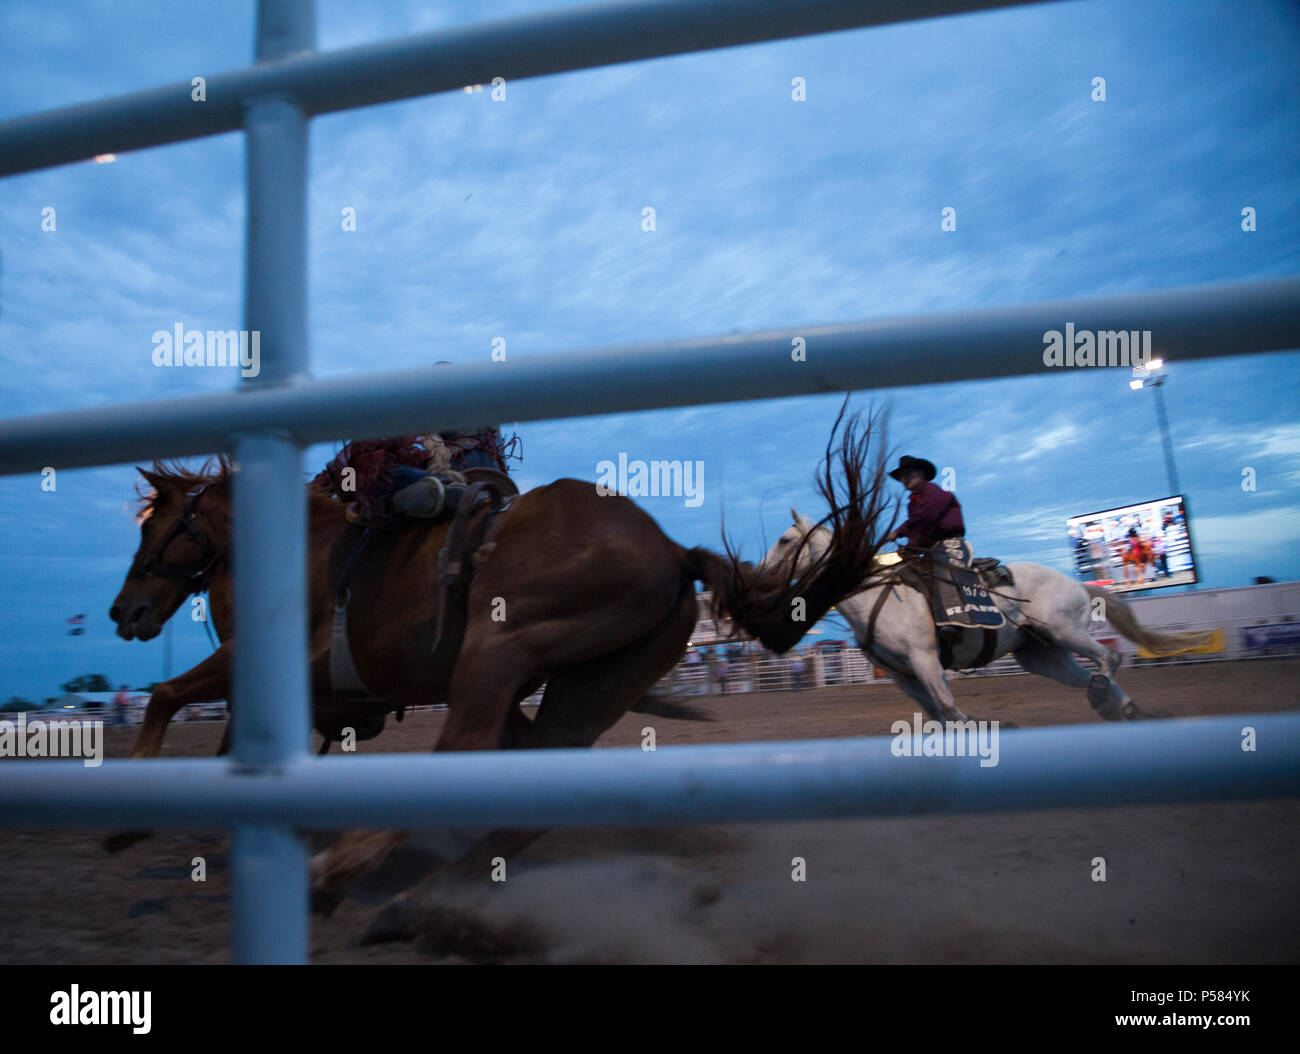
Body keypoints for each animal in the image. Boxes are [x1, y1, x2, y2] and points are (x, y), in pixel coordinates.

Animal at [109, 408, 894, 925]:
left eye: (154, 525)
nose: (125, 612)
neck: (306, 548)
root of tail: (674, 552)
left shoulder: (266, 663)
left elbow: (166, 695)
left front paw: (131, 818)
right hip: (584, 686)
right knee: (533, 780)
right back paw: (420, 900)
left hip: (499, 652)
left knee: (464, 752)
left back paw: (343, 876)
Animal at [759, 512, 1211, 727]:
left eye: (784, 539)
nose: (760, 573)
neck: (875, 596)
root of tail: (1078, 584)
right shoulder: (903, 674)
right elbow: (938, 715)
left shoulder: (925, 660)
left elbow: (948, 708)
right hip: (1043, 656)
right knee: (1094, 673)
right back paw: (1129, 711)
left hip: (1064, 631)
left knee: (1108, 660)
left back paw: (1110, 701)